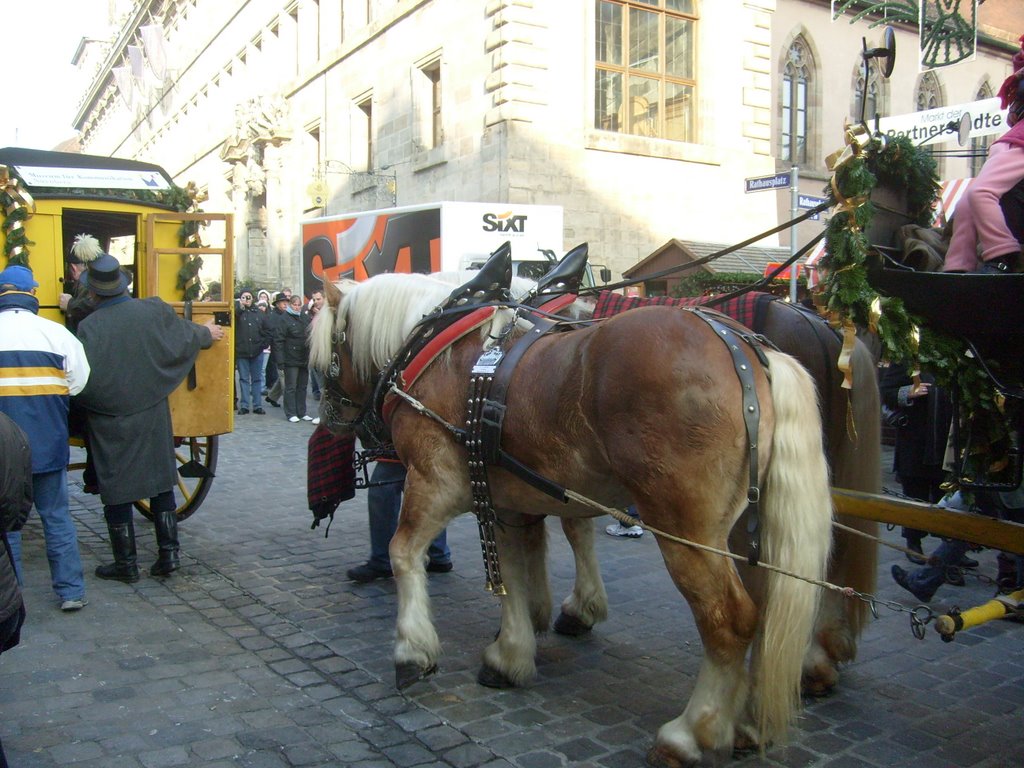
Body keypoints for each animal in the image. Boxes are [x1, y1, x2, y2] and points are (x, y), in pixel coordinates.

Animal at [315, 274, 835, 765]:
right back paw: (748, 722)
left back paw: (690, 732)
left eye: (324, 359)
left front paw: (413, 650)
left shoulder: (433, 482)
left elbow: (404, 552)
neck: (442, 351)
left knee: (729, 620)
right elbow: (516, 572)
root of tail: (745, 348)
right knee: (767, 608)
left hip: (686, 530)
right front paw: (513, 651)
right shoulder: (505, 498)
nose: (333, 420)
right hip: (746, 526)